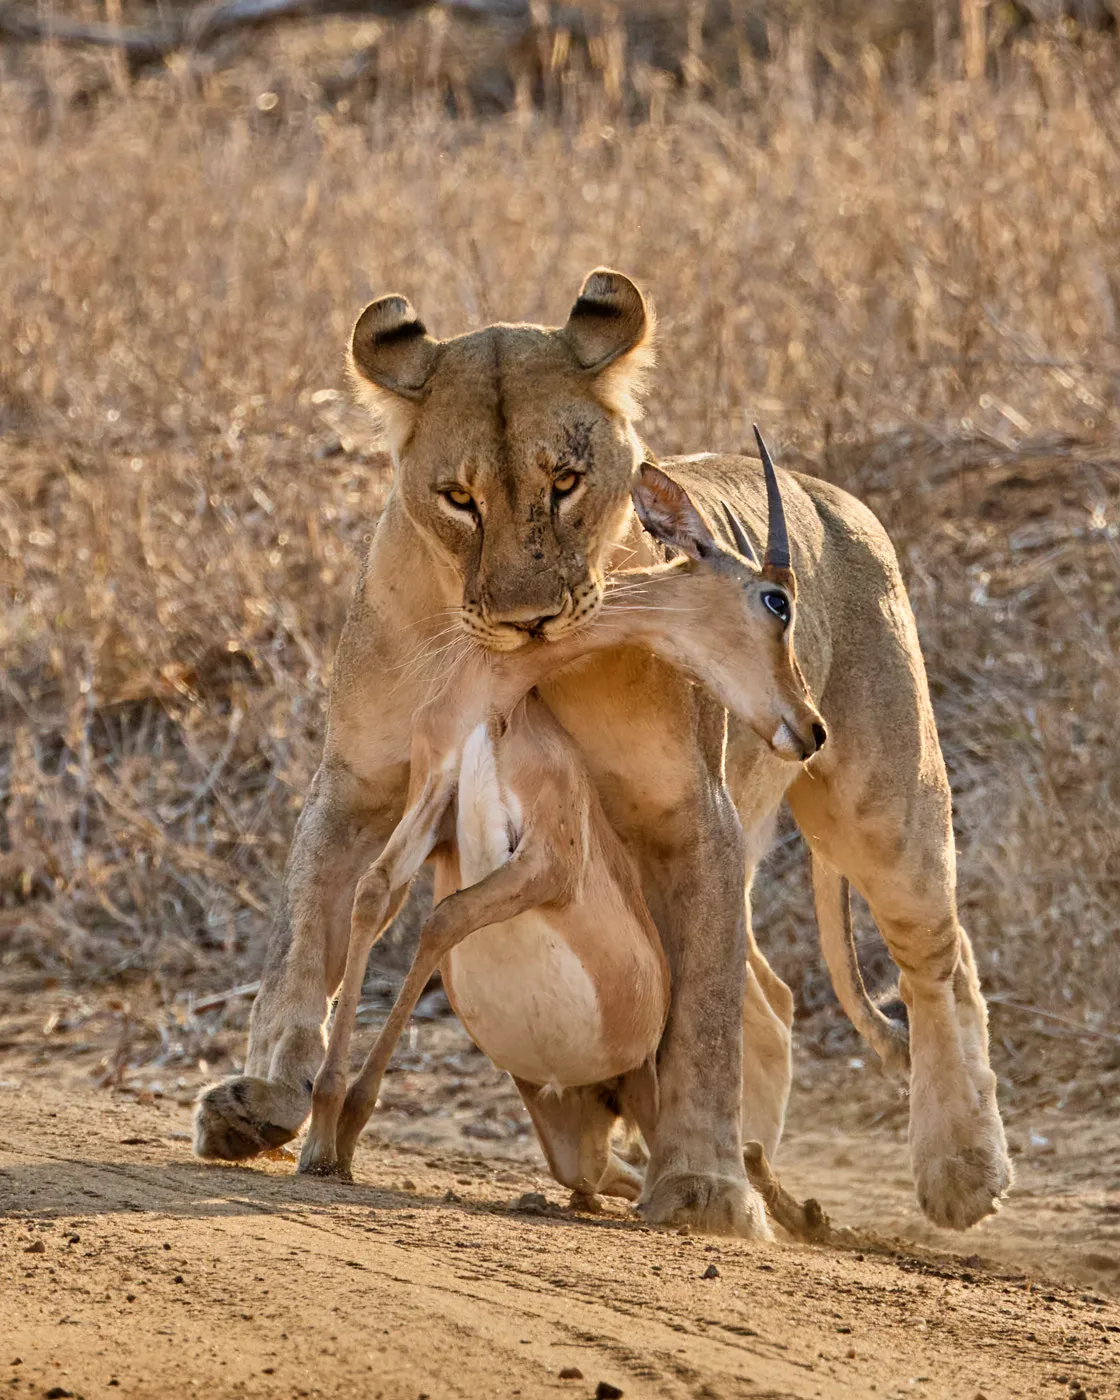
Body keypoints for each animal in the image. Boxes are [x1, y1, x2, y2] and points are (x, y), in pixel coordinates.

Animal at [194, 269, 1011, 1237]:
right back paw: (747, 1171)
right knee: (772, 1000)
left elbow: (699, 1017)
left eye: (567, 481)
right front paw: (272, 1102)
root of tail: (841, 498)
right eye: (458, 497)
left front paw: (700, 1183)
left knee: (939, 959)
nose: (528, 620)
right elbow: (312, 925)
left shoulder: (684, 814)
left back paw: (949, 1169)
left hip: (884, 806)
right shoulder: (365, 779)